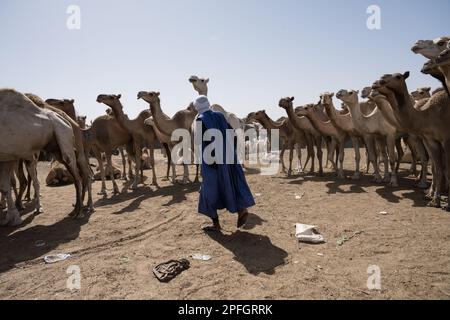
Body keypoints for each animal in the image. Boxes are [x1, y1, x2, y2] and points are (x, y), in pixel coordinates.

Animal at [0, 89, 83, 226]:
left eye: (62, 102)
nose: (49, 100)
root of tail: (67, 121)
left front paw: (14, 217)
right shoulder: (7, 157)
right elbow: (5, 187)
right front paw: (11, 218)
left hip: (63, 138)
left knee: (76, 176)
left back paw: (78, 211)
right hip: (55, 149)